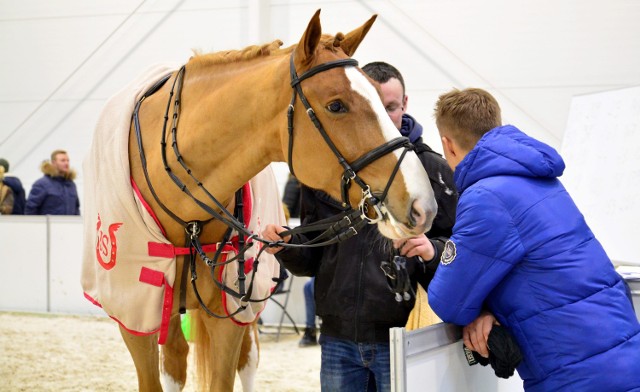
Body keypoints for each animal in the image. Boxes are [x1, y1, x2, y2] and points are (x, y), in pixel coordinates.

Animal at [123, 9, 438, 392]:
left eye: (383, 102)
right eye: (336, 105)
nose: (423, 205)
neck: (187, 219)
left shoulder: (229, 315)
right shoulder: (134, 317)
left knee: (246, 361)